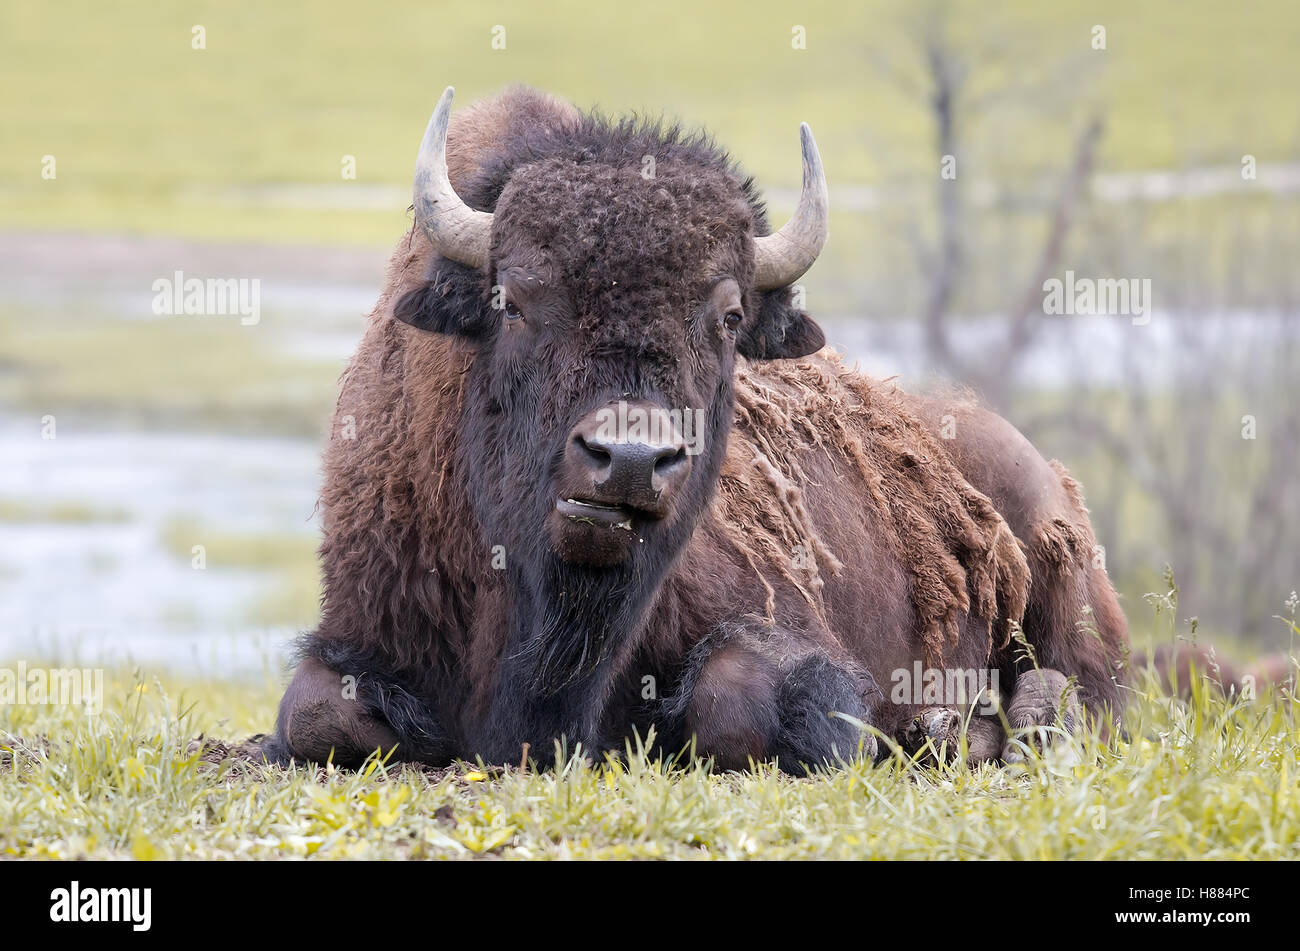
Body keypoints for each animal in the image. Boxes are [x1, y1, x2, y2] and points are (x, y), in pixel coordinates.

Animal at [261, 87, 1128, 774]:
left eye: (728, 316)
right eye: (514, 300)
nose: (631, 460)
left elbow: (744, 699)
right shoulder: (366, 630)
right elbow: (316, 714)